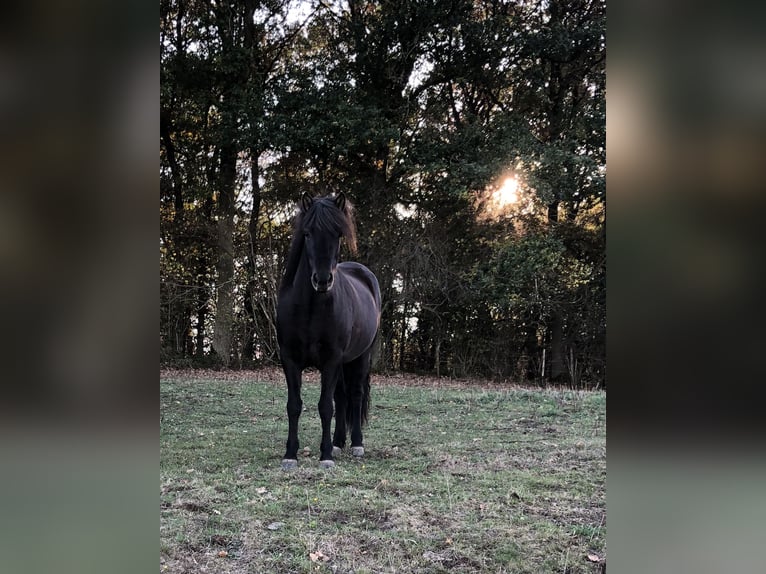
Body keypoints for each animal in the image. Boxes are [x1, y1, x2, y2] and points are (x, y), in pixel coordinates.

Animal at [276, 192, 381, 469]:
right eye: (307, 233)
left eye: (338, 233)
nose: (322, 280)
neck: (310, 308)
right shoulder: (290, 359)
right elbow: (294, 405)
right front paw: (290, 454)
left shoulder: (331, 360)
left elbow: (325, 406)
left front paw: (325, 456)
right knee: (342, 396)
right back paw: (338, 441)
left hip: (360, 356)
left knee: (354, 394)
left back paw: (355, 444)